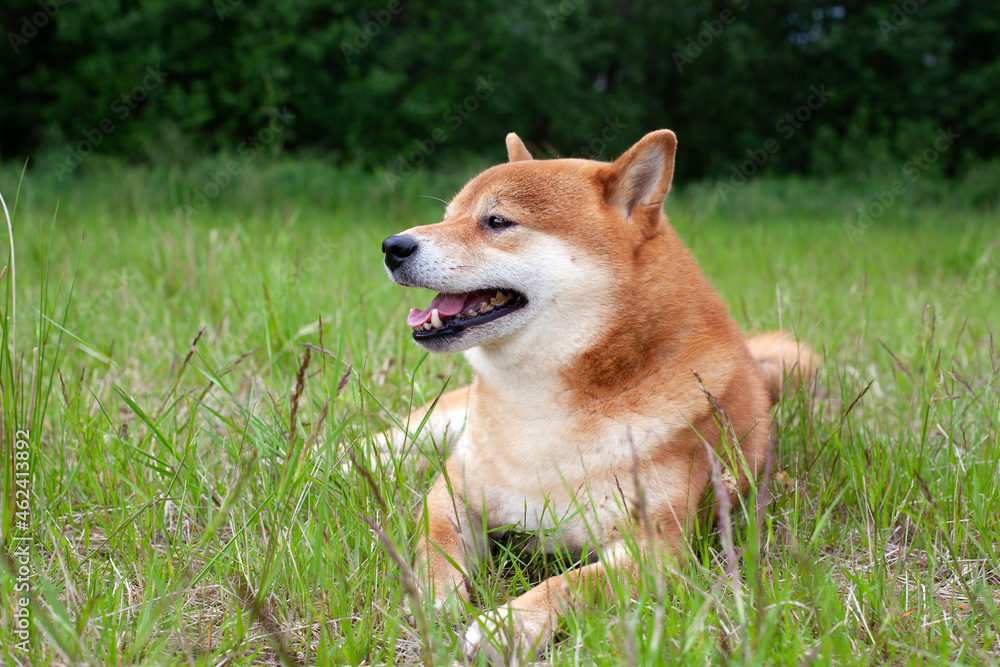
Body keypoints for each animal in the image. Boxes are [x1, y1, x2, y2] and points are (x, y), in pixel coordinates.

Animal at [380, 129, 812, 664]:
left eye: (497, 221)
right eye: (448, 215)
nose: (392, 246)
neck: (537, 411)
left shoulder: (654, 551)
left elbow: (570, 585)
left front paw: (507, 625)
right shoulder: (454, 490)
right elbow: (434, 542)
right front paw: (429, 595)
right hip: (441, 423)